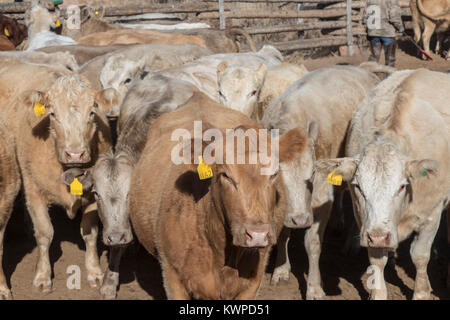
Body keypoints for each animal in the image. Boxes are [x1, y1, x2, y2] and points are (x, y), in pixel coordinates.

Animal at [0, 63, 111, 296]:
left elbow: (90, 233)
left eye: (92, 112)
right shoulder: (33, 190)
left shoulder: (93, 194)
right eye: (52, 114)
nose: (75, 153)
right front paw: (42, 276)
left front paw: (95, 271)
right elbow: (45, 233)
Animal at [316, 68, 450, 300]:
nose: (378, 236)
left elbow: (420, 255)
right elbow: (377, 260)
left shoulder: (432, 213)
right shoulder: (367, 221)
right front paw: (378, 293)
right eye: (358, 187)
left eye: (402, 186)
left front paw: (422, 292)